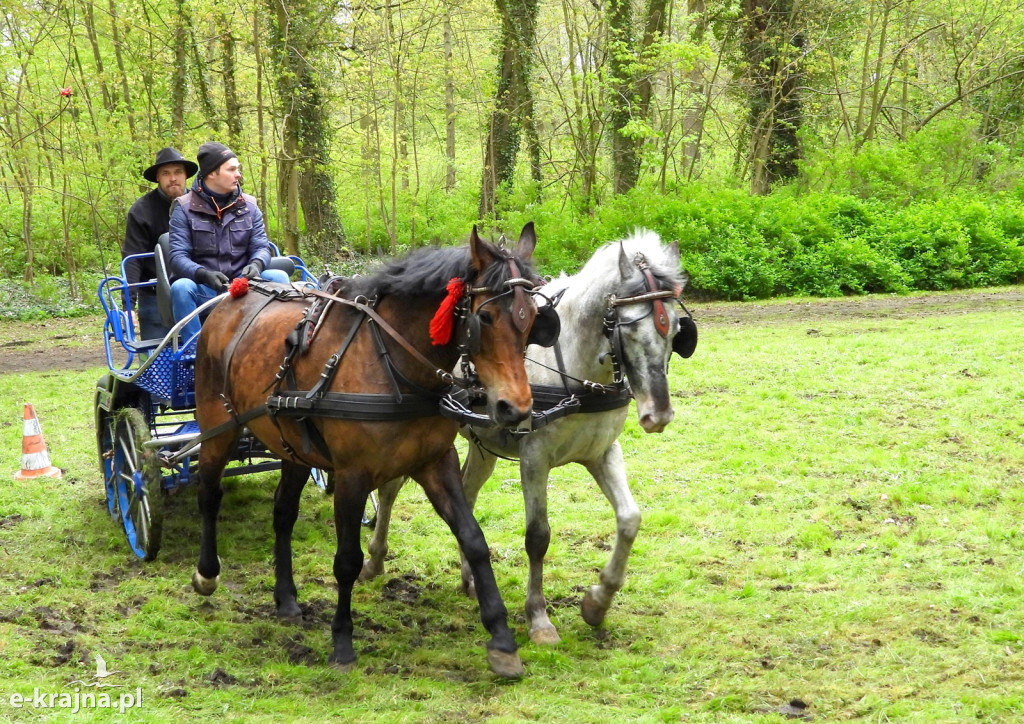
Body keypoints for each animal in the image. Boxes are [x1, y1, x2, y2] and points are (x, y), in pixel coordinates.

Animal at [187, 226, 548, 679]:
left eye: (532, 318)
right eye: (485, 319)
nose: (515, 408)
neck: (396, 365)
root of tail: (232, 295)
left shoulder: (435, 461)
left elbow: (474, 539)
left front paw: (501, 639)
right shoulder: (352, 476)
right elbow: (347, 560)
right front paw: (342, 642)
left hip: (293, 446)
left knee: (283, 513)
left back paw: (286, 598)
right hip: (218, 426)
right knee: (209, 494)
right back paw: (207, 573)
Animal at [360, 229, 696, 643]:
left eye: (677, 331)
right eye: (629, 328)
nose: (658, 415)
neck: (574, 371)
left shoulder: (602, 452)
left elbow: (630, 519)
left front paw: (598, 602)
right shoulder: (535, 459)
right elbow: (538, 536)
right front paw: (538, 617)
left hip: (483, 448)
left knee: (466, 495)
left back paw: (470, 579)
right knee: (390, 490)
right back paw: (375, 560)